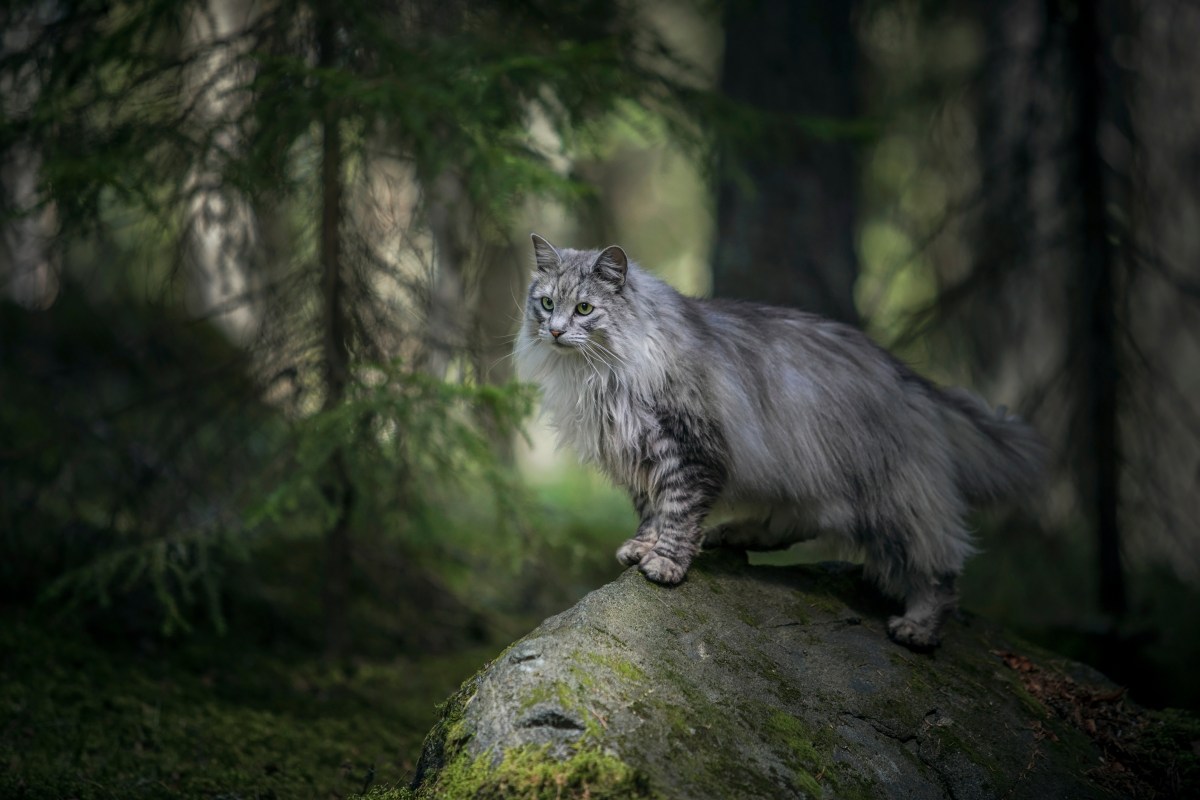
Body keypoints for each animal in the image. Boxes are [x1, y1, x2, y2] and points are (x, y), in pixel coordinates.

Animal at [513, 232, 1041, 652]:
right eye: (546, 303)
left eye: (584, 308)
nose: (555, 330)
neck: (602, 376)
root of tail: (914, 382)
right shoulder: (638, 456)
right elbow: (651, 510)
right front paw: (642, 548)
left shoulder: (689, 450)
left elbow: (678, 512)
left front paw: (665, 562)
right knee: (798, 521)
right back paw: (735, 534)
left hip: (894, 500)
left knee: (939, 570)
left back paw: (920, 628)